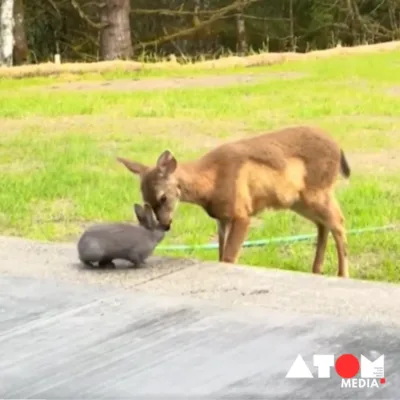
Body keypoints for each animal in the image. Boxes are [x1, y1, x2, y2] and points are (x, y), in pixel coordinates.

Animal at [117, 125, 352, 278]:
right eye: (146, 200)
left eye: (163, 197)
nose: (165, 224)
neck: (210, 183)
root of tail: (340, 148)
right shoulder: (222, 219)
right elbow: (221, 254)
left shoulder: (242, 213)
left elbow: (229, 257)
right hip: (298, 200)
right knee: (323, 224)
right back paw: (317, 270)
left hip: (317, 191)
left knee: (338, 222)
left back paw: (342, 274)